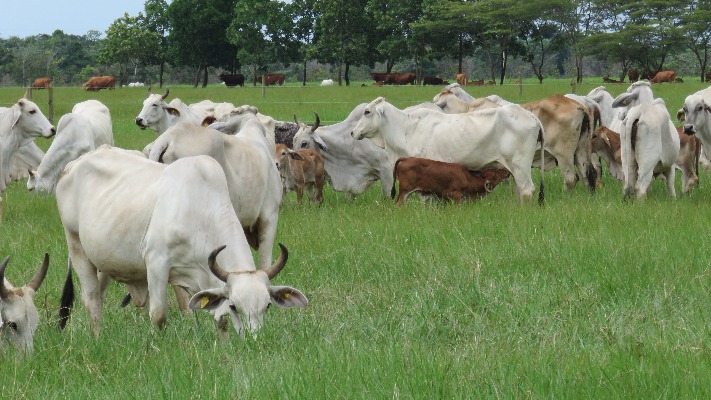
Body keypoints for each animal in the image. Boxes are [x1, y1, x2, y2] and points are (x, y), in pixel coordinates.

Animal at [57, 145, 308, 336]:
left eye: (267, 306)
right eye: (235, 305)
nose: (254, 339)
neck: (200, 211)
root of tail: (74, 165)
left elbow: (218, 319)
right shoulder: (157, 263)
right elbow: (158, 315)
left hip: (104, 261)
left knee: (98, 295)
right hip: (76, 247)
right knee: (91, 298)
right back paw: (98, 337)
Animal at [352, 97, 544, 203]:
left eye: (367, 112)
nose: (353, 132)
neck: (406, 129)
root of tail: (532, 117)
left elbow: (427, 199)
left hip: (520, 164)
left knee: (527, 190)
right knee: (520, 190)